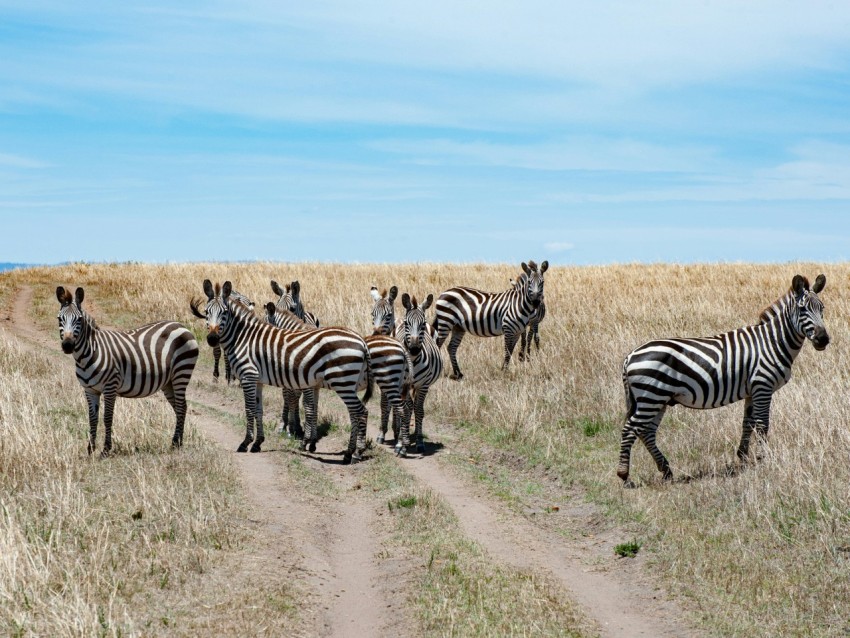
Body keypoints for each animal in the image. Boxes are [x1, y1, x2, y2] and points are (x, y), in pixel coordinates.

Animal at [56, 286, 199, 456]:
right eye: (59, 319)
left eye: (79, 319)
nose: (68, 345)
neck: (90, 352)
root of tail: (181, 325)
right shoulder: (90, 390)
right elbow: (93, 418)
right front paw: (90, 449)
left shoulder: (110, 386)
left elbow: (107, 417)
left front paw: (105, 450)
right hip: (168, 382)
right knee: (179, 407)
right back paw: (177, 442)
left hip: (181, 373)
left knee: (182, 406)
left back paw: (177, 443)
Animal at [191, 280, 373, 462]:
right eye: (206, 312)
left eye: (224, 312)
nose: (212, 339)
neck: (242, 337)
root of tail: (361, 341)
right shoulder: (257, 380)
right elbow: (258, 410)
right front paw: (258, 443)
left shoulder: (248, 376)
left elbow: (249, 409)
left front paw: (245, 443)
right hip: (347, 384)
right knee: (354, 413)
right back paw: (349, 452)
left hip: (342, 382)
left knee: (361, 411)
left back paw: (357, 452)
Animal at [396, 293, 443, 456]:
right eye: (407, 323)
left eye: (423, 324)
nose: (415, 349)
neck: (413, 360)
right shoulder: (402, 385)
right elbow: (404, 411)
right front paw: (401, 444)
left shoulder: (423, 385)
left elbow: (419, 410)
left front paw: (420, 441)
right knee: (405, 408)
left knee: (415, 407)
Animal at [618, 274, 829, 487]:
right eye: (802, 309)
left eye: (822, 308)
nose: (823, 339)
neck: (773, 342)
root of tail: (630, 356)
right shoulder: (763, 385)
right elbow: (762, 424)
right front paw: (764, 458)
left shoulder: (752, 390)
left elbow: (747, 423)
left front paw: (743, 457)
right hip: (651, 396)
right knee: (630, 429)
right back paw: (624, 475)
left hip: (658, 399)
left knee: (646, 432)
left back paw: (666, 471)